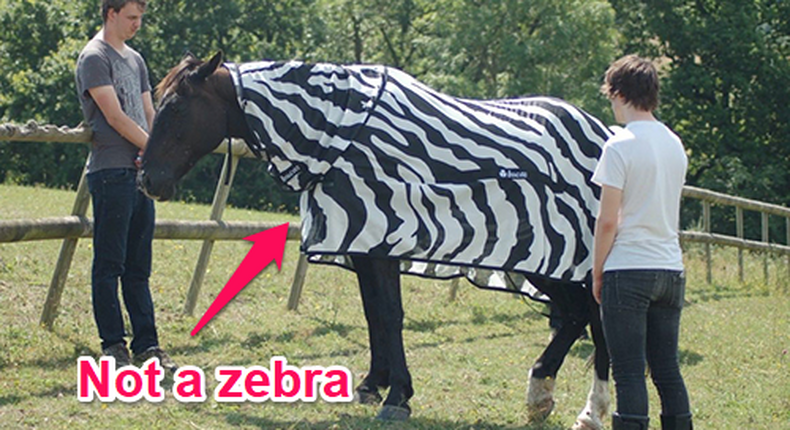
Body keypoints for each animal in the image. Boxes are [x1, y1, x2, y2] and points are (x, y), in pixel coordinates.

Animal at [139, 50, 612, 426]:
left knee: (592, 318)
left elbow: (390, 314)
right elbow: (373, 316)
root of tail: (602, 134)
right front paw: (373, 383)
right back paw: (548, 396)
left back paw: (586, 407)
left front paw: (398, 395)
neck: (343, 138)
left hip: (566, 258)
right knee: (578, 315)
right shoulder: (363, 244)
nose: (147, 180)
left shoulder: (384, 239)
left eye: (176, 108)